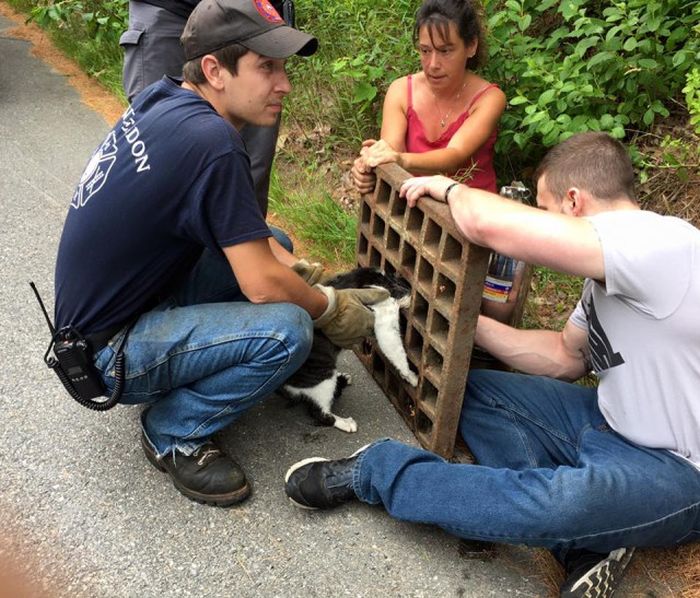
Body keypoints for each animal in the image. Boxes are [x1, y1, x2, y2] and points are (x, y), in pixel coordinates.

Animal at [282, 270, 418, 434]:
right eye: (401, 287)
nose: (411, 296)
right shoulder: (384, 321)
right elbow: (396, 351)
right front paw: (411, 376)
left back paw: (342, 379)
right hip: (322, 377)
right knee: (318, 412)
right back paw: (344, 422)